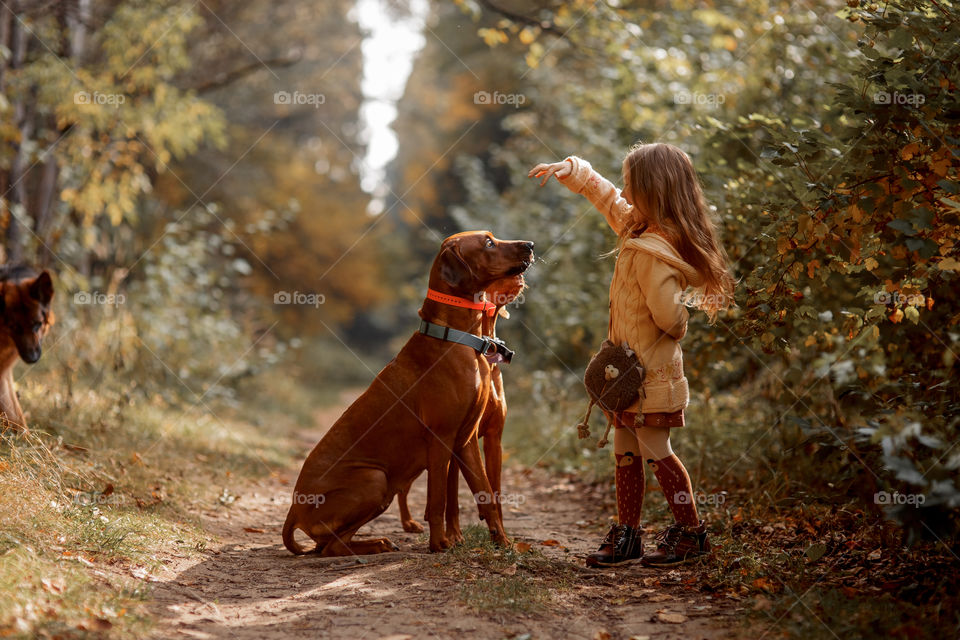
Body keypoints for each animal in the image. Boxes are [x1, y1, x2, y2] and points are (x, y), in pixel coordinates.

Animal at [394, 276, 524, 540]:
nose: (521, 276)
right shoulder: (460, 435)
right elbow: (452, 494)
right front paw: (454, 534)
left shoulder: (494, 439)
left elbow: (493, 492)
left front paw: (501, 533)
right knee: (403, 487)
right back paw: (408, 522)